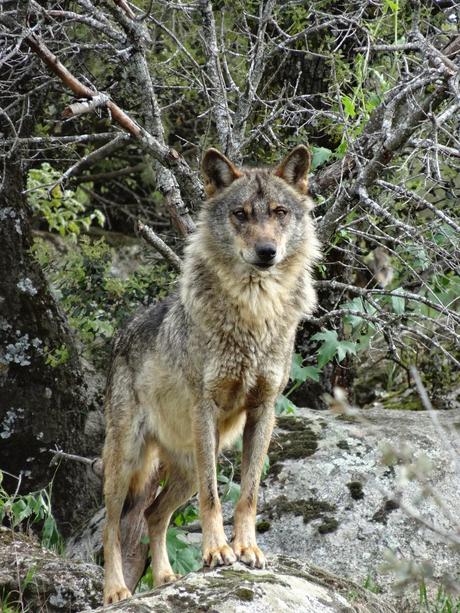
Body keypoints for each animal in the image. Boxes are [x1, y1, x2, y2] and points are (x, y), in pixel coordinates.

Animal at [103, 145, 322, 604]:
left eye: (279, 212)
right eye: (240, 214)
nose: (266, 251)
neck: (255, 312)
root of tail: (119, 339)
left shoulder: (263, 410)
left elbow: (249, 495)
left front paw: (247, 549)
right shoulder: (206, 407)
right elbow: (213, 498)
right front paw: (217, 551)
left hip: (188, 465)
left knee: (153, 515)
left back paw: (166, 579)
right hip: (127, 462)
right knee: (112, 527)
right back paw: (115, 590)